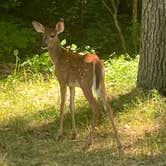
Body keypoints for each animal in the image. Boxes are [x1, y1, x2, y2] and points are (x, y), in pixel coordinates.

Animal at [31, 18, 122, 152]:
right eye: (42, 34)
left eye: (53, 35)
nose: (43, 45)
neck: (57, 59)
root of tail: (96, 62)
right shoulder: (72, 85)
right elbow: (71, 106)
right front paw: (74, 134)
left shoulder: (62, 80)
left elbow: (62, 106)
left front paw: (59, 135)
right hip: (101, 83)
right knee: (108, 107)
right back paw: (119, 143)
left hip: (85, 83)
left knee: (95, 107)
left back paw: (88, 143)